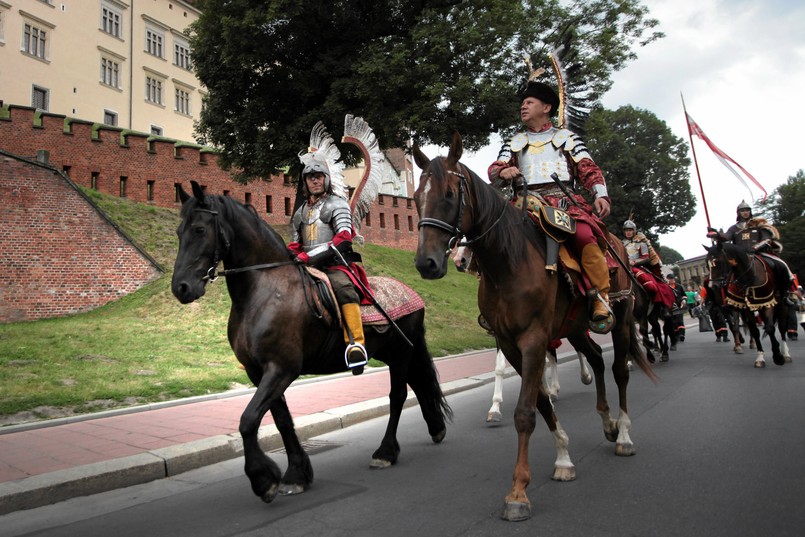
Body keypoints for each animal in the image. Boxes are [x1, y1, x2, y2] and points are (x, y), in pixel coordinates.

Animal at [170, 180, 452, 502]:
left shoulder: (281, 368)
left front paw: (263, 478)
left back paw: (385, 452)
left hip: (402, 352)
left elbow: (249, 419)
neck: (265, 289)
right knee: (418, 384)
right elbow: (281, 420)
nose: (182, 287)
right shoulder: (259, 372)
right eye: (180, 231)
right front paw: (296, 473)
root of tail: (411, 293)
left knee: (398, 396)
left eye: (199, 229)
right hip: (394, 352)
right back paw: (436, 428)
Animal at [412, 133, 652, 520]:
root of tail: (616, 243)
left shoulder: (534, 338)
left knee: (619, 369)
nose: (427, 263)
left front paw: (518, 492)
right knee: (596, 358)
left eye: (449, 194)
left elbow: (525, 411)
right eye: (418, 197)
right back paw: (607, 423)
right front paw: (564, 457)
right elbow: (539, 401)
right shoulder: (511, 342)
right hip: (575, 327)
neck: (508, 260)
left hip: (622, 318)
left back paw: (625, 434)